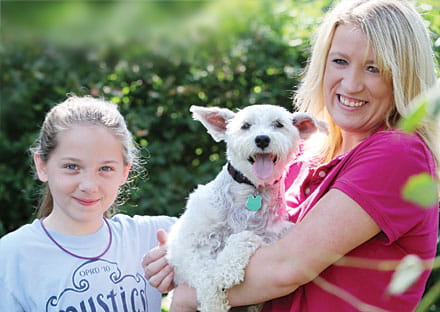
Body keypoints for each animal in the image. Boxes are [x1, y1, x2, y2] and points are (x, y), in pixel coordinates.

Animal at [167, 105, 324, 312]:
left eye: (278, 124)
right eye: (245, 125)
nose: (262, 139)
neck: (253, 189)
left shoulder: (274, 237)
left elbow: (246, 236)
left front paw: (227, 269)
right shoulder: (185, 245)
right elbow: (205, 275)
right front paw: (214, 301)